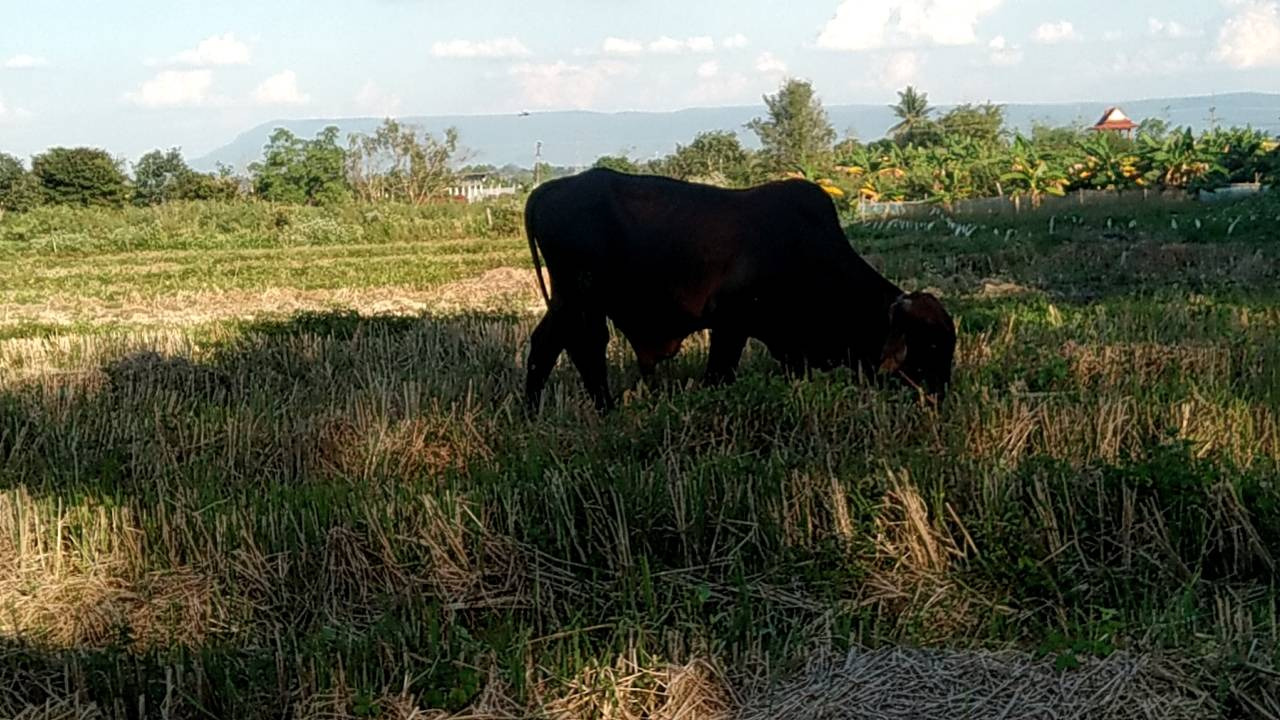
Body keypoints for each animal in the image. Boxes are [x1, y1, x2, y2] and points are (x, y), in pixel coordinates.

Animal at [523, 168, 956, 413]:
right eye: (930, 344)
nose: (939, 397)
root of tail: (549, 189)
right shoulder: (731, 326)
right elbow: (719, 374)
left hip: (566, 301)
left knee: (548, 345)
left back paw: (534, 410)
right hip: (581, 299)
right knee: (584, 348)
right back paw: (602, 409)